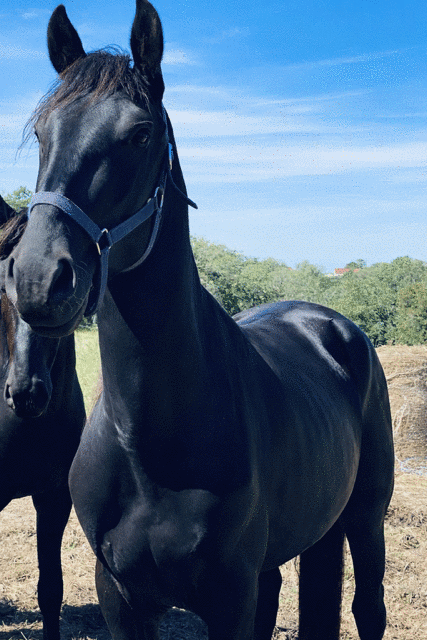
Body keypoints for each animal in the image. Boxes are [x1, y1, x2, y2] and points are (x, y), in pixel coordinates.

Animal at [4, 3, 394, 639]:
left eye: (140, 134)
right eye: (42, 133)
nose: (38, 279)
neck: (148, 440)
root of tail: (332, 324)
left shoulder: (228, 597)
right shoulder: (119, 594)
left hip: (365, 519)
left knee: (369, 609)